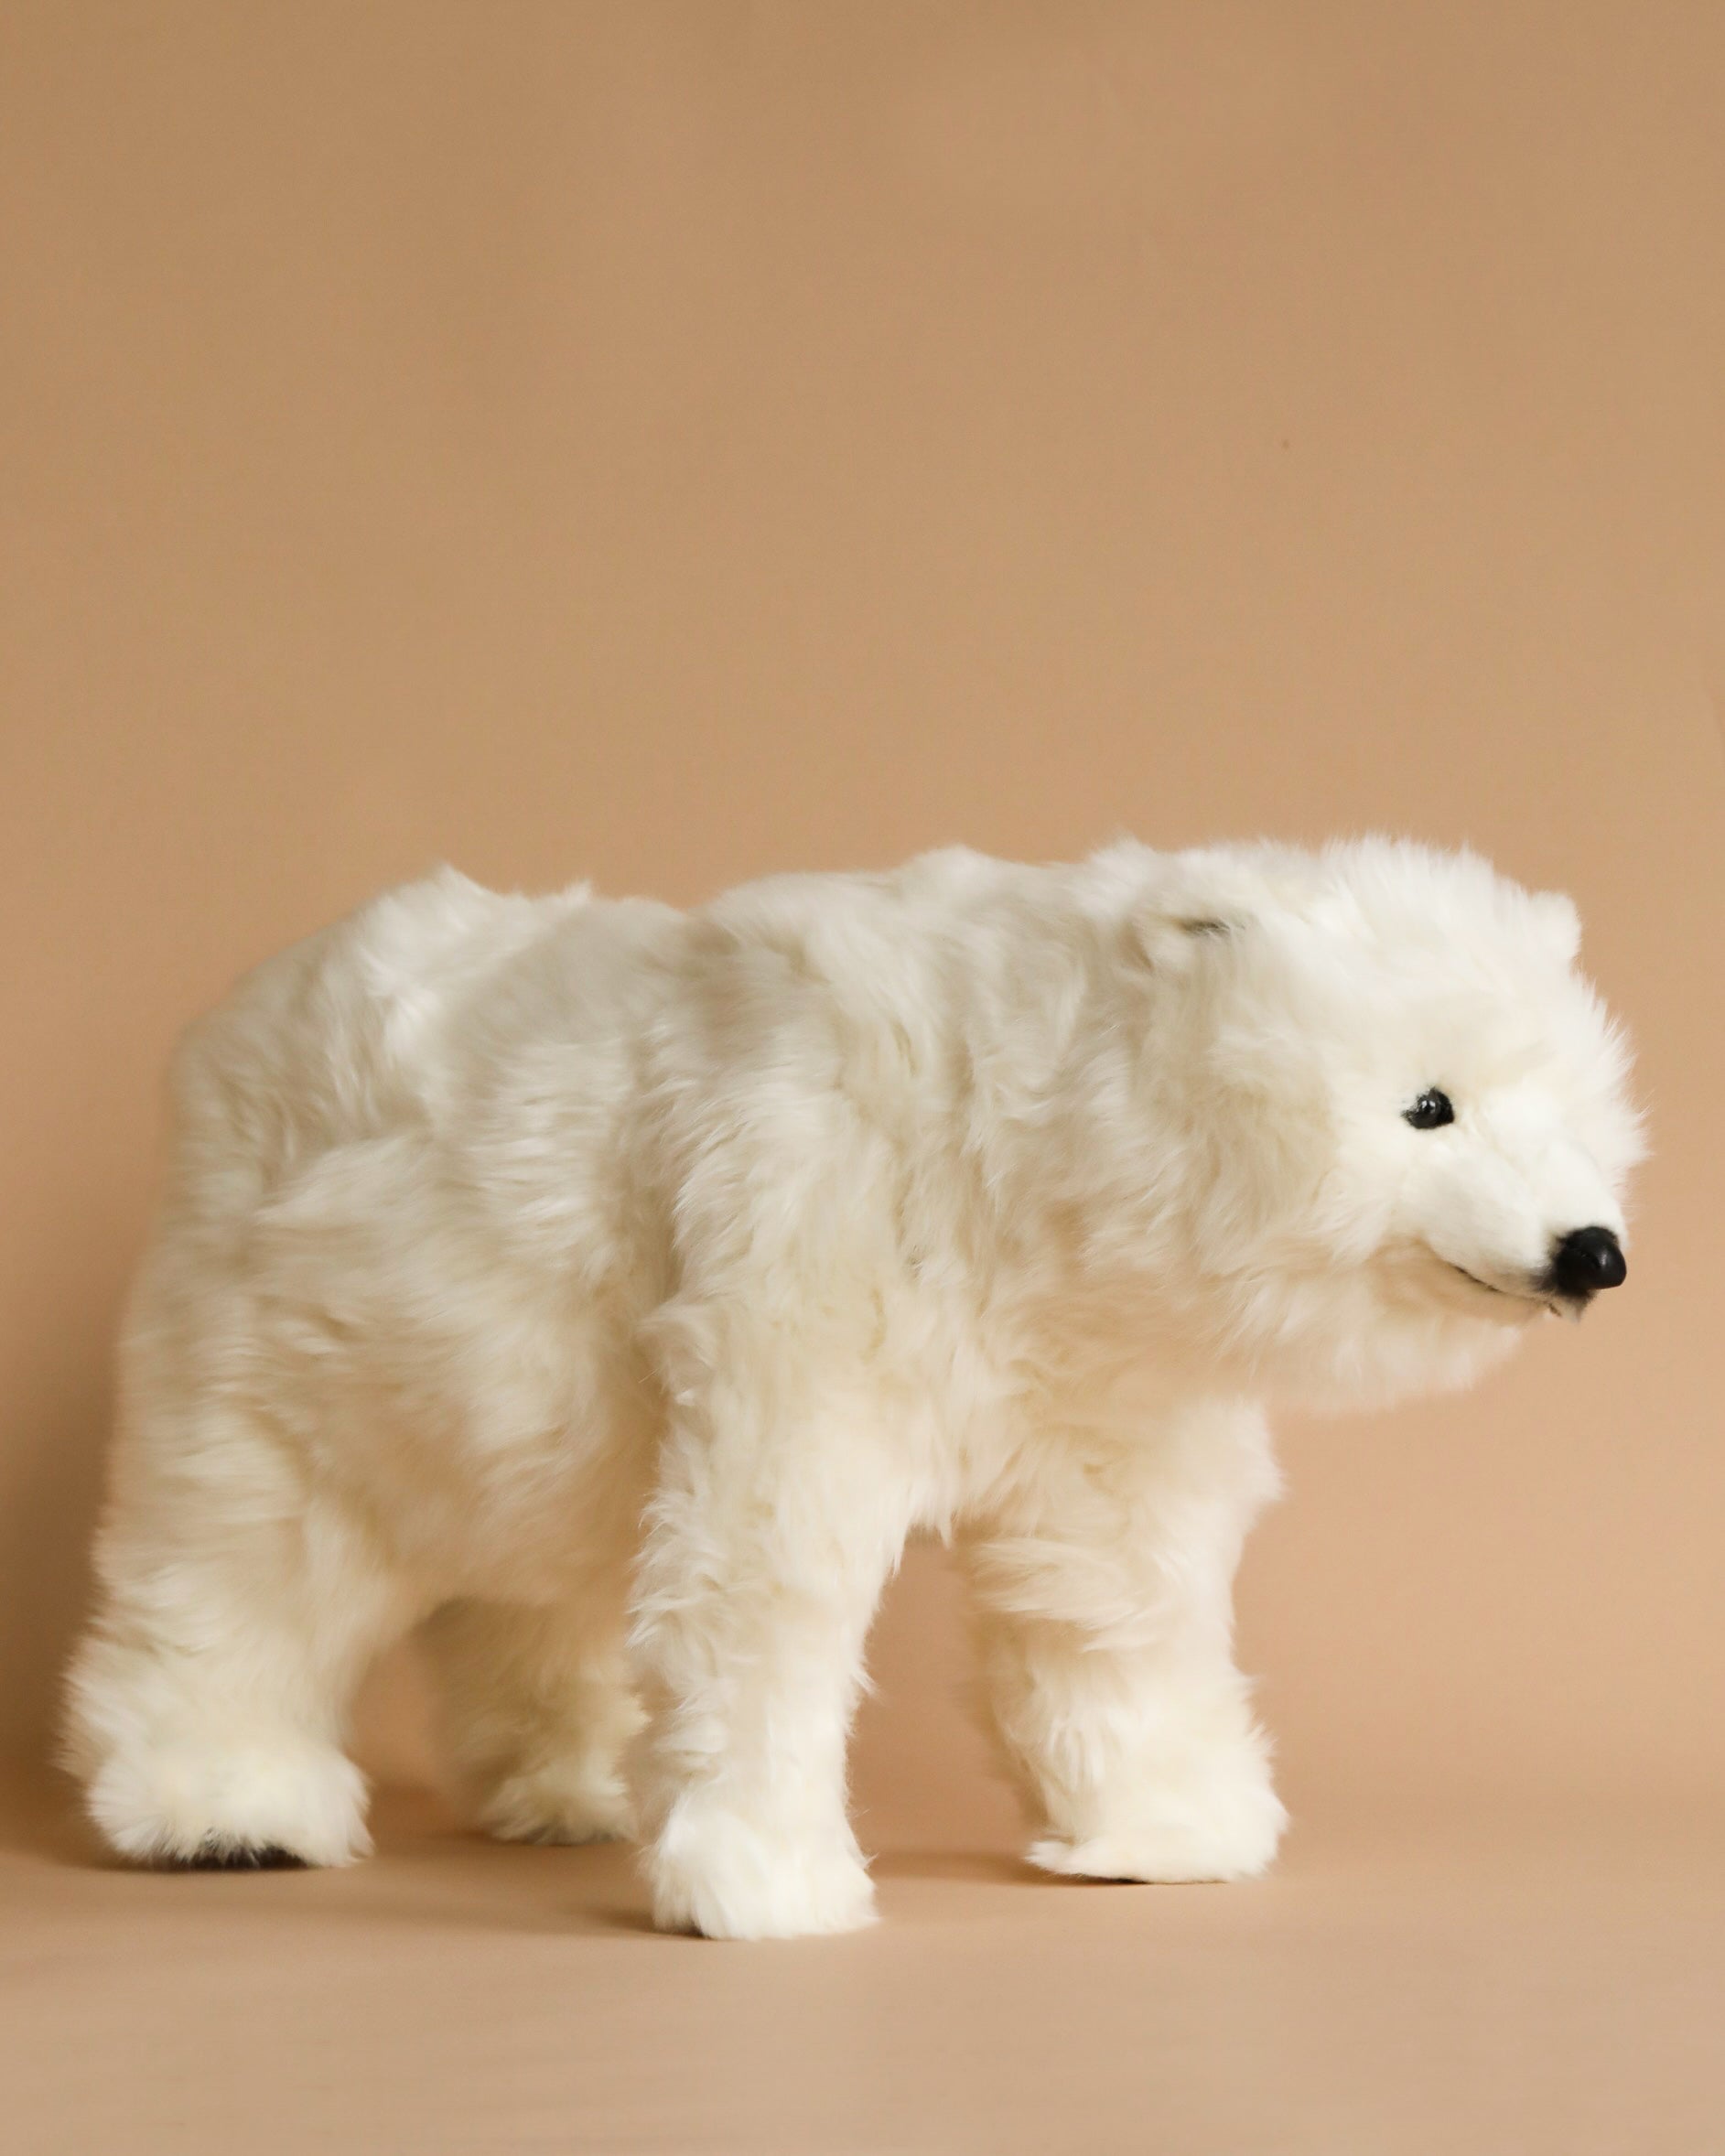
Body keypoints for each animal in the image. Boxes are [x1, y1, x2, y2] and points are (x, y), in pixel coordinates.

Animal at [63, 837, 1643, 1937]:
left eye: (1580, 1113)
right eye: (1427, 1104)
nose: (1593, 1249)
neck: (1025, 1147)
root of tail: (236, 1014)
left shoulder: (1098, 1380)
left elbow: (1113, 1597)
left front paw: (1170, 1836)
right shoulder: (806, 1265)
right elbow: (772, 1584)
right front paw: (769, 1886)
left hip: (523, 1386)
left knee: (529, 1574)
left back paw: (565, 1794)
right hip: (276, 1331)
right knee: (247, 1551)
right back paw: (222, 1812)